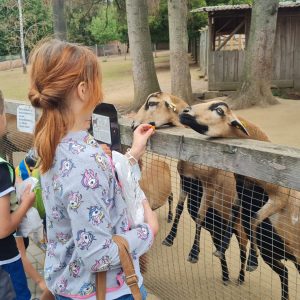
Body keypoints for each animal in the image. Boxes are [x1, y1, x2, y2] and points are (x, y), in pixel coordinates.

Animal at [180, 101, 300, 300]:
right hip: (272, 252)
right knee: (284, 272)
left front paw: (252, 262)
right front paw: (218, 249)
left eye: (219, 110)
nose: (184, 112)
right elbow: (236, 215)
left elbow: (254, 218)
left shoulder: (279, 199)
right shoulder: (241, 200)